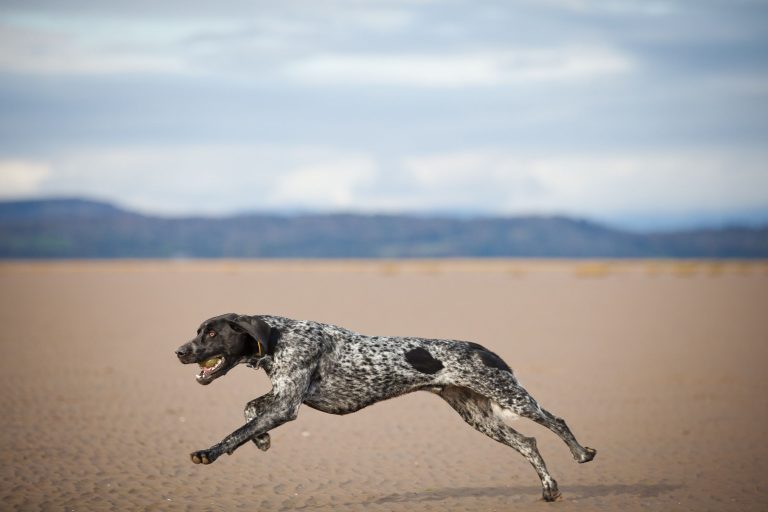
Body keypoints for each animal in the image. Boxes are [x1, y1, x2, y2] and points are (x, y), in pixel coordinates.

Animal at [177, 314, 596, 502]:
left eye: (212, 333)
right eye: (198, 331)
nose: (179, 351)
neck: (279, 336)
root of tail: (484, 349)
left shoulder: (287, 405)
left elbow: (236, 433)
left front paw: (209, 452)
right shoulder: (282, 397)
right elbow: (249, 411)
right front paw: (262, 440)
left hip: (510, 397)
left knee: (555, 421)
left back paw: (581, 453)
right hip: (478, 416)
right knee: (528, 443)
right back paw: (549, 488)